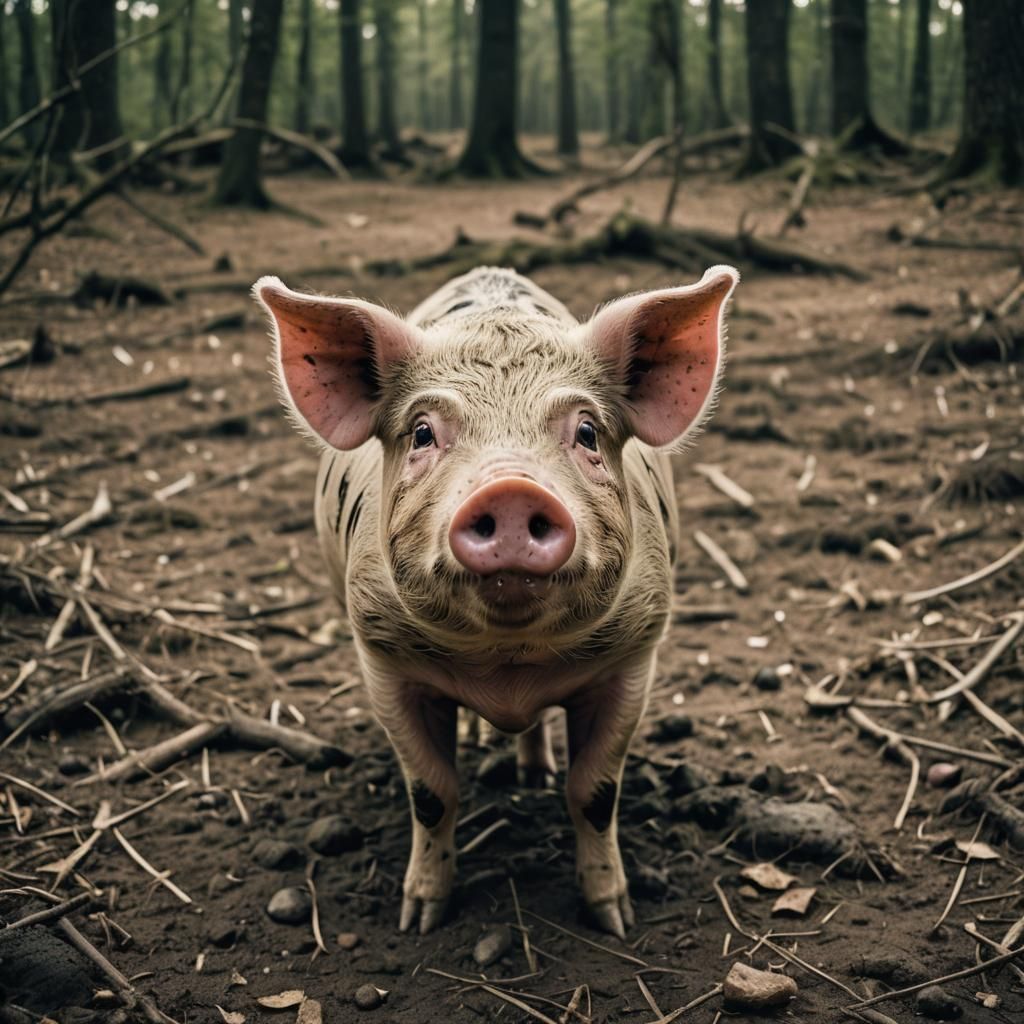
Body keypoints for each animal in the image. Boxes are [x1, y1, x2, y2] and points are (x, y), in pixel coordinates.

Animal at [254, 264, 738, 937]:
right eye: (423, 432)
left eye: (586, 430)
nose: (509, 488)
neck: (508, 664)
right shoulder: (383, 659)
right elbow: (432, 794)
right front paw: (419, 919)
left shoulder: (633, 657)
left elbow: (595, 793)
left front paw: (614, 918)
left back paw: (532, 772)